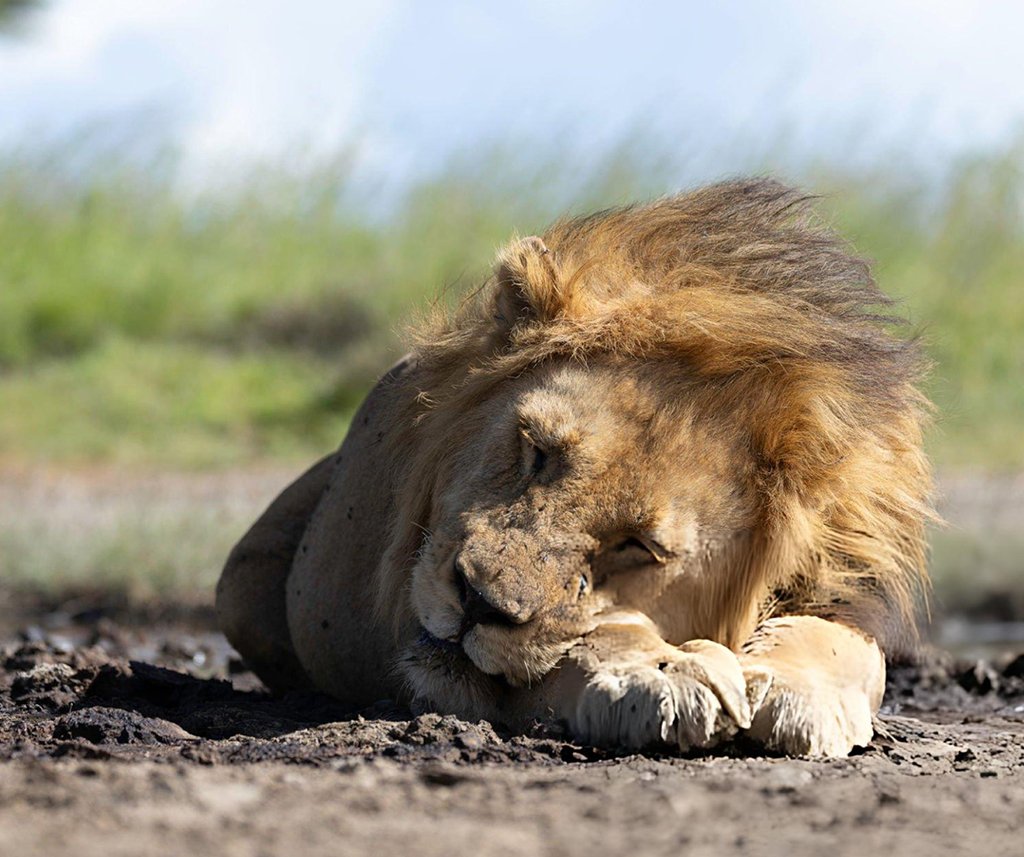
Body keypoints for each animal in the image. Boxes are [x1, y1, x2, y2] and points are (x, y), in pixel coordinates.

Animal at [216, 178, 933, 757]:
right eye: (535, 449)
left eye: (639, 546)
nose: (477, 602)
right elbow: (581, 645)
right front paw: (662, 674)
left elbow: (840, 644)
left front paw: (796, 692)